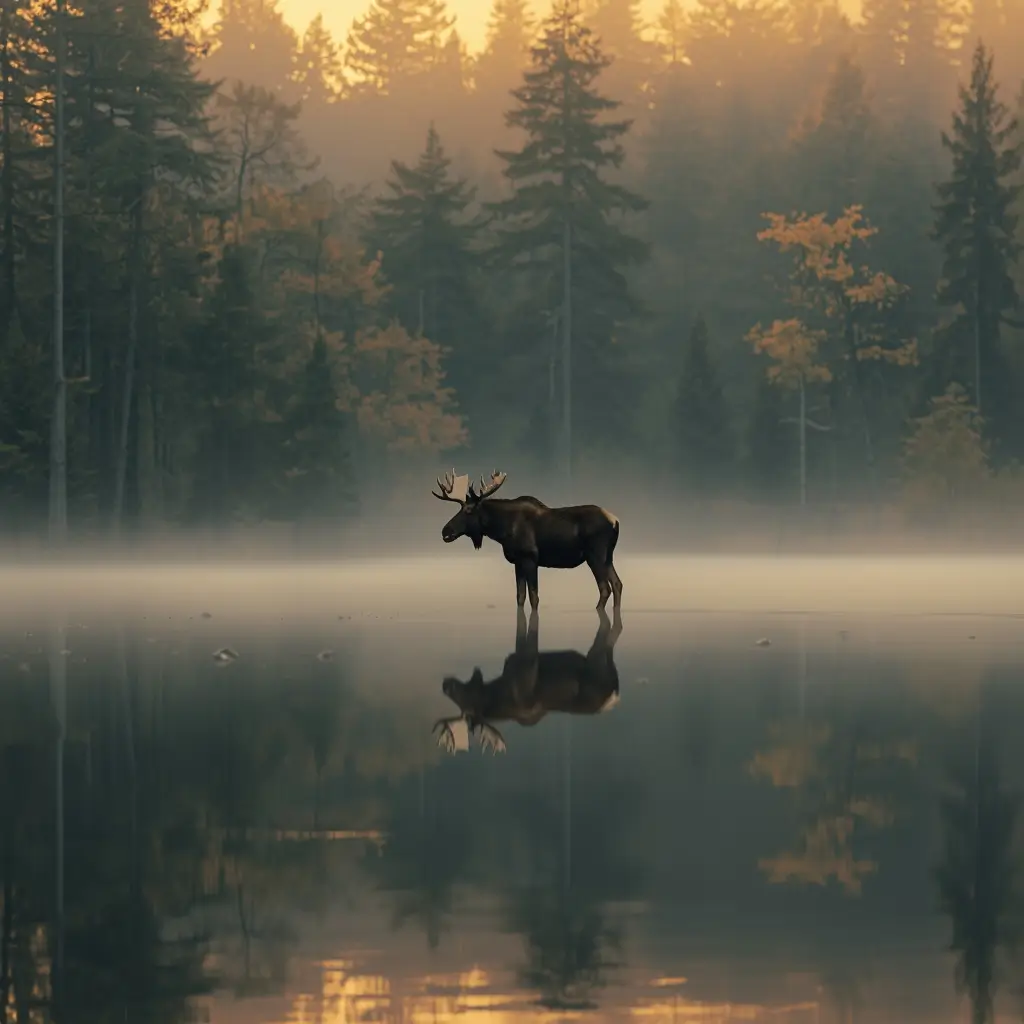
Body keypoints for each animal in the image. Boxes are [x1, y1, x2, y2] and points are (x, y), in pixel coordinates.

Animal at [431, 469, 623, 613]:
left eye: (469, 510)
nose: (445, 531)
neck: (502, 530)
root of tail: (615, 520)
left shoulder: (530, 558)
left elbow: (534, 597)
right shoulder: (518, 561)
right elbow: (520, 596)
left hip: (595, 556)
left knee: (605, 588)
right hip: (608, 557)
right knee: (617, 584)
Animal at [433, 608, 623, 755]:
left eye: (464, 706)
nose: (444, 684)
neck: (499, 690)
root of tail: (613, 696)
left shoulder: (527, 663)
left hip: (596, 661)